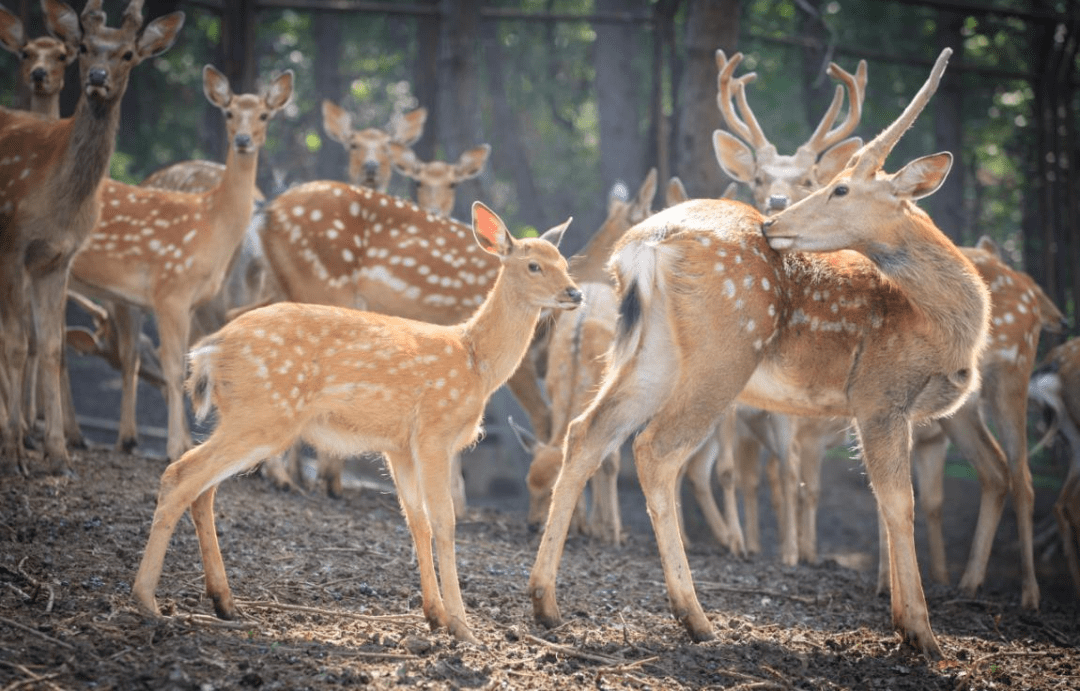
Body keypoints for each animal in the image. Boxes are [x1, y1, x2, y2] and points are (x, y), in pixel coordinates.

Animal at [0, 0, 183, 475]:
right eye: (83, 47)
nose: (98, 77)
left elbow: (50, 346)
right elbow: (16, 344)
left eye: (128, 54)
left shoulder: (56, 259)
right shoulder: (12, 247)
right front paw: (14, 453)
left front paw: (57, 454)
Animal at [69, 67, 293, 462]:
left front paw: (181, 443)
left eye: (265, 115)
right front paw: (175, 447)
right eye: (228, 112)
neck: (210, 226)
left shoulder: (186, 301)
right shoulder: (168, 290)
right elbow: (172, 367)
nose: (243, 140)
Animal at [135, 202, 583, 643]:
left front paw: (434, 616)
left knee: (202, 488)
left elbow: (417, 522)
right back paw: (147, 601)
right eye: (533, 265)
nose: (575, 293)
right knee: (180, 474)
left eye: (564, 262)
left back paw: (224, 602)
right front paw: (463, 626)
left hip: (247, 416)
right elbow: (445, 522)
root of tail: (208, 351)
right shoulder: (434, 433)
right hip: (265, 412)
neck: (475, 361)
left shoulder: (399, 446)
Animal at [531, 48, 980, 656]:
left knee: (586, 433)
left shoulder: (895, 411)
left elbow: (882, 504)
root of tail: (643, 245)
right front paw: (923, 635)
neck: (944, 326)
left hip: (652, 353)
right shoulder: (879, 394)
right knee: (655, 449)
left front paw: (899, 619)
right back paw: (695, 617)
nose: (775, 218)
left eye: (837, 188)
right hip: (725, 351)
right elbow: (896, 502)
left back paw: (546, 602)